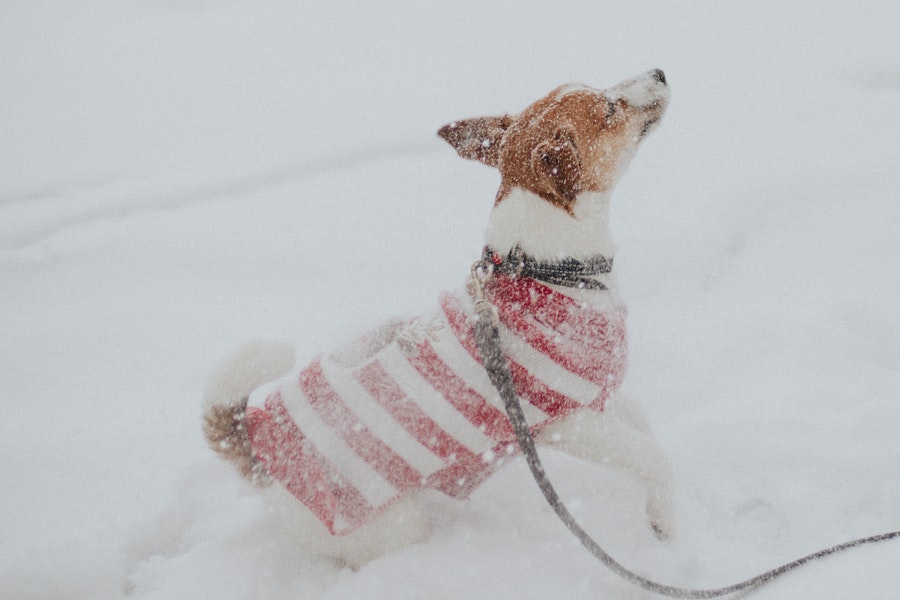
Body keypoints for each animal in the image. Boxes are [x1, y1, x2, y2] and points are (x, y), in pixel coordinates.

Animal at [206, 70, 676, 568]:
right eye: (608, 109)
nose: (659, 72)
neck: (545, 269)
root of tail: (254, 445)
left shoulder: (593, 399)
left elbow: (640, 419)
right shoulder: (569, 426)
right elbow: (650, 456)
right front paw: (666, 523)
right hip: (389, 525)